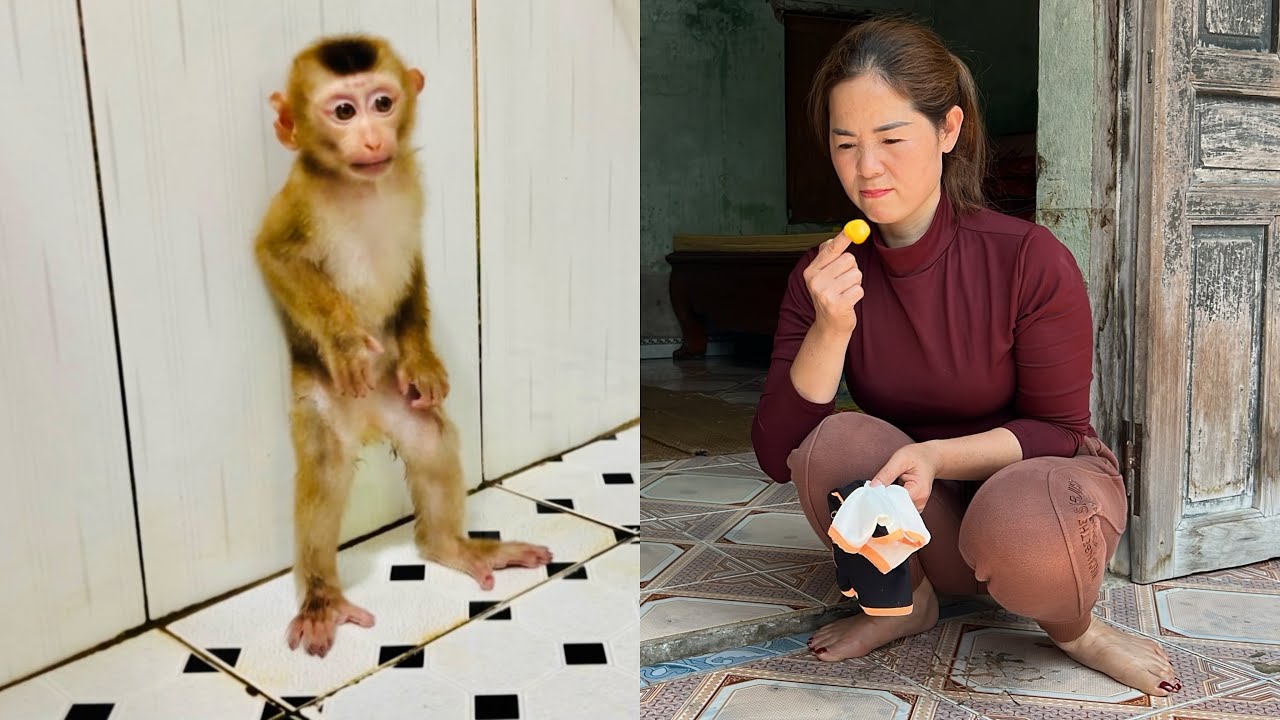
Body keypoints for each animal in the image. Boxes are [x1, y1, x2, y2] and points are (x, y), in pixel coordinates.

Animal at [253, 34, 552, 658]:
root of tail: (369, 421)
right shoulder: (297, 198)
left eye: (383, 102)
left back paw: (448, 545)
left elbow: (412, 268)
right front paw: (347, 344)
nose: (372, 138)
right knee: (324, 467)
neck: (360, 185)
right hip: (324, 403)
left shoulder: (412, 184)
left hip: (398, 403)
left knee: (431, 439)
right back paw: (320, 597)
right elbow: (275, 255)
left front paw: (425, 362)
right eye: (344, 111)